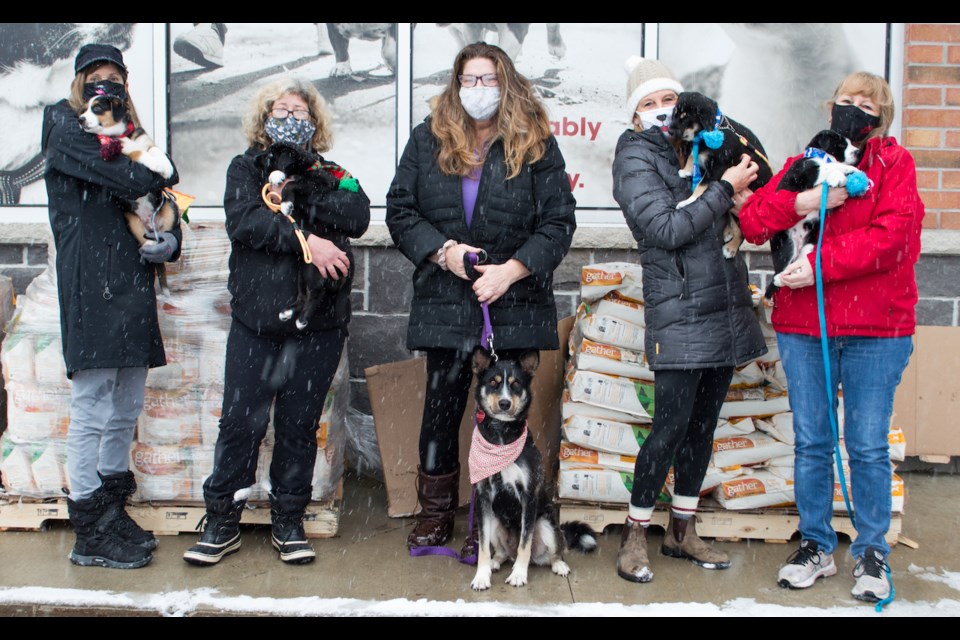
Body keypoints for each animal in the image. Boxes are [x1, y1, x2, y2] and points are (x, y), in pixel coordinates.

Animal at [260, 141, 350, 330]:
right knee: (303, 295)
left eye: (270, 156)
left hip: (317, 273)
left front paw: (285, 201)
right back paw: (288, 312)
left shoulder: (320, 182)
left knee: (316, 295)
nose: (256, 160)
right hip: (303, 272)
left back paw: (302, 320)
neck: (303, 167)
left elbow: (291, 184)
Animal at [468, 350, 596, 592]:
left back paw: (558, 565)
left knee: (555, 552)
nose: (505, 403)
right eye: (493, 383)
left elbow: (524, 543)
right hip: (495, 521)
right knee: (501, 552)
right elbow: (483, 548)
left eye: (516, 384)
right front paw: (481, 575)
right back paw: (496, 561)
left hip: (547, 525)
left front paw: (519, 574)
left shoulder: (528, 495)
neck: (501, 436)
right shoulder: (483, 499)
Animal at [672, 90, 776, 260]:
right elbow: (693, 154)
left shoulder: (718, 167)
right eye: (675, 112)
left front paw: (688, 202)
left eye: (685, 117)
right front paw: (686, 170)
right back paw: (728, 232)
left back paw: (730, 249)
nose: (669, 130)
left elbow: (701, 186)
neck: (709, 131)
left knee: (742, 231)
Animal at [768, 131, 868, 300]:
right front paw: (845, 171)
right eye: (842, 144)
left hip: (809, 245)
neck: (821, 155)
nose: (859, 152)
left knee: (798, 263)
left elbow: (832, 167)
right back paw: (780, 278)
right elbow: (830, 166)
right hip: (787, 245)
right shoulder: (806, 172)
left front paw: (842, 176)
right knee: (779, 273)